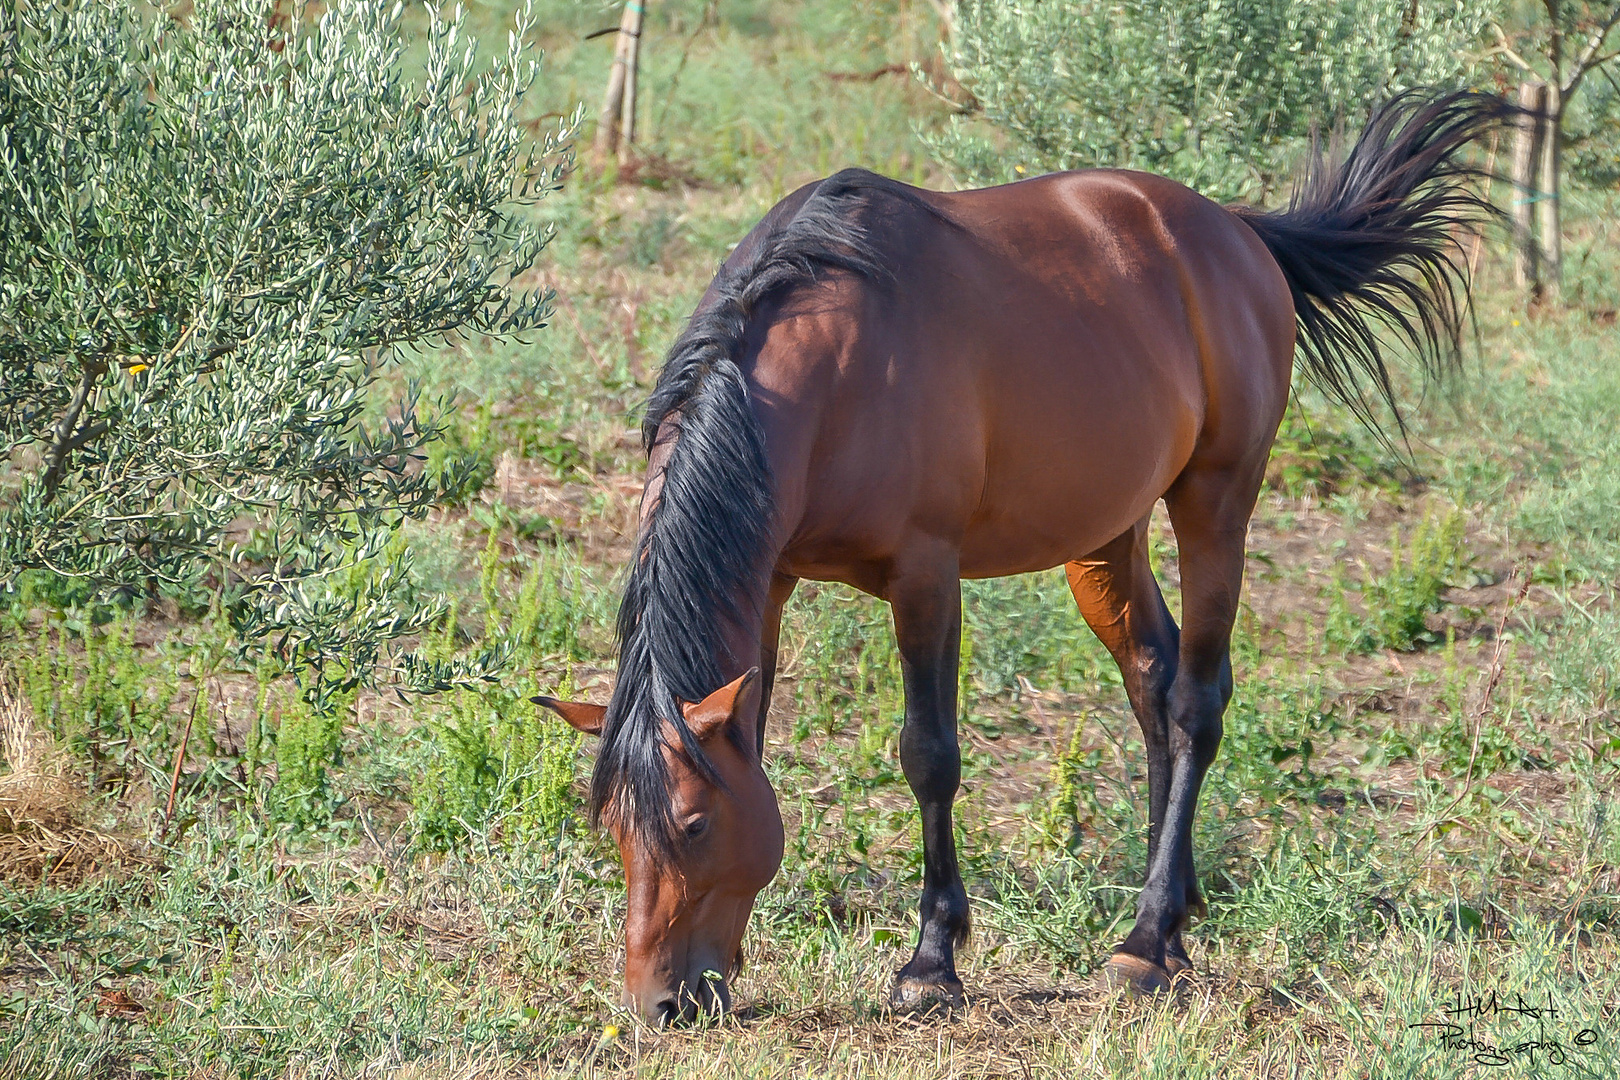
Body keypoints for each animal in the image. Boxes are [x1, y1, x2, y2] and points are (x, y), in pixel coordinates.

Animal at [531, 90, 1503, 1023]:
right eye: (612, 827)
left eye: (694, 826)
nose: (661, 1003)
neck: (834, 367)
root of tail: (1237, 231)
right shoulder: (768, 580)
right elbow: (763, 738)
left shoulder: (925, 576)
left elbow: (930, 753)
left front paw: (932, 962)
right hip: (1105, 536)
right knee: (1153, 681)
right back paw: (1173, 923)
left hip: (1218, 501)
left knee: (1196, 699)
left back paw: (1145, 943)